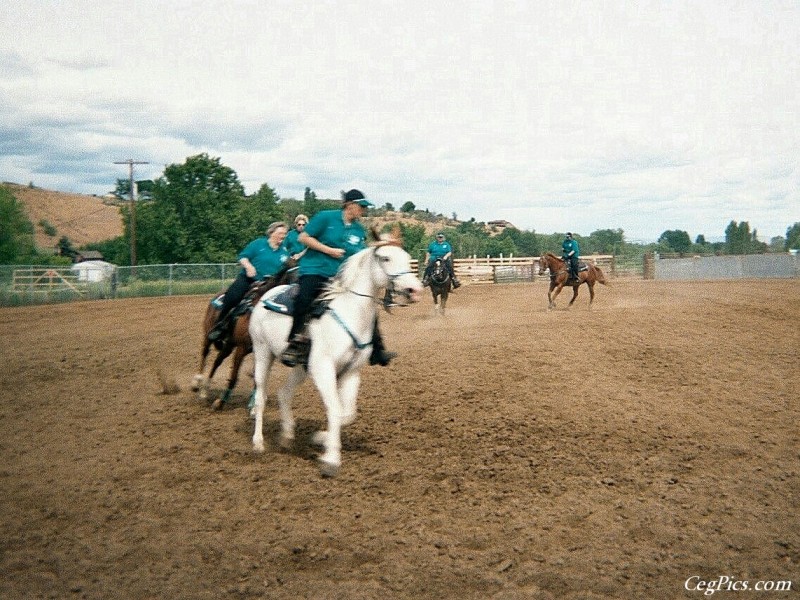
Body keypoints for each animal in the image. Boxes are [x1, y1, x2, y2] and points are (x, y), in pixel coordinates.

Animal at [192, 266, 296, 410]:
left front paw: (254, 402)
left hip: (229, 344)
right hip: (209, 335)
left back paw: (206, 387)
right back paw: (199, 385)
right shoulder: (241, 348)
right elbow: (234, 377)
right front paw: (220, 402)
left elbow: (257, 377)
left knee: (217, 361)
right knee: (205, 354)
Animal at [250, 237, 422, 476]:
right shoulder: (324, 369)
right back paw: (258, 443)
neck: (352, 312)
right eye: (386, 258)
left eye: (407, 257)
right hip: (262, 353)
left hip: (302, 367)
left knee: (284, 393)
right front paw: (331, 459)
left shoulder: (351, 372)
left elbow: (347, 414)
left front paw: (320, 438)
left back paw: (287, 436)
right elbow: (335, 409)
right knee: (261, 398)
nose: (414, 289)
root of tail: (266, 295)